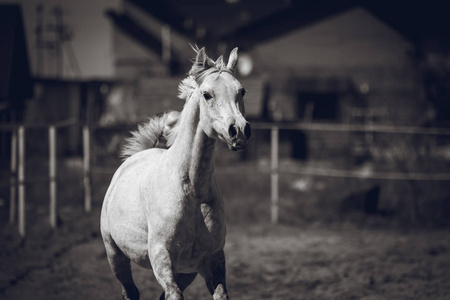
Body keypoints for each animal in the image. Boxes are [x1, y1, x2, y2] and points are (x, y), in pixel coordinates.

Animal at [100, 47, 251, 300]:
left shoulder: (212, 260)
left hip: (187, 272)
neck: (192, 189)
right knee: (130, 291)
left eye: (242, 91)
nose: (239, 131)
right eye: (207, 95)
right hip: (115, 256)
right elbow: (173, 294)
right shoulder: (161, 258)